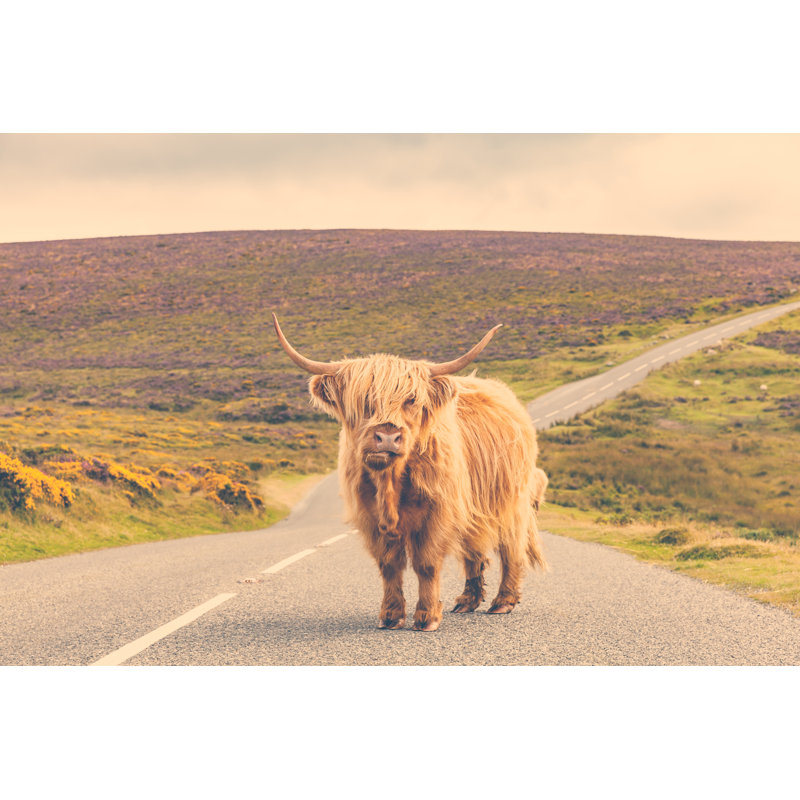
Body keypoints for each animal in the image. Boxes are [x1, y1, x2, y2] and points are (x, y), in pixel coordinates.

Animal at [273, 314, 547, 631]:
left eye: (411, 400)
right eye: (363, 400)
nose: (387, 437)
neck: (390, 484)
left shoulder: (438, 513)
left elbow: (426, 563)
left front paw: (427, 617)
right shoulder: (371, 517)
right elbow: (389, 565)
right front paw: (391, 616)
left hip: (511, 500)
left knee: (511, 547)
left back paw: (503, 601)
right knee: (473, 550)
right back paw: (467, 601)